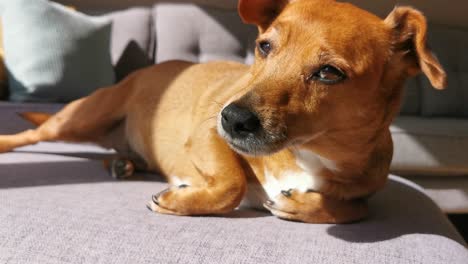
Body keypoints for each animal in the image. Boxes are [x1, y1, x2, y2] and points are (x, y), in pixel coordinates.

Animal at [0, 0, 446, 223]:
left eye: (329, 73)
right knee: (31, 135)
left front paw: (305, 206)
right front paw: (180, 201)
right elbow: (231, 183)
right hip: (77, 118)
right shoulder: (207, 133)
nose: (232, 118)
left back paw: (124, 163)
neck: (311, 154)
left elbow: (357, 209)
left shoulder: (365, 186)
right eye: (264, 46)